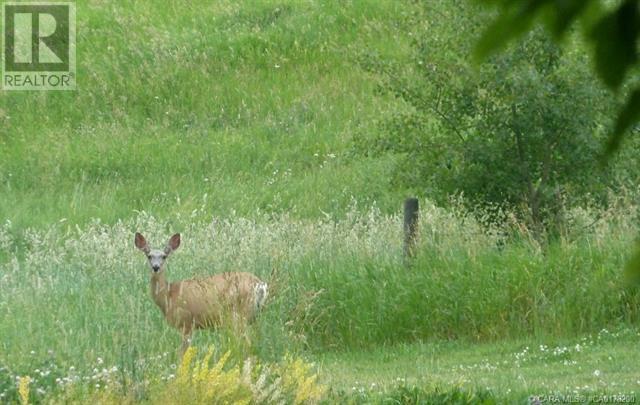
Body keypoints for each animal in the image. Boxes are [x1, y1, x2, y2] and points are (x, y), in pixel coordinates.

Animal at [133, 232, 268, 356]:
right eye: (149, 256)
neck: (169, 295)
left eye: (164, 256)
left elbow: (183, 353)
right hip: (253, 317)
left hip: (238, 315)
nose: (156, 267)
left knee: (247, 344)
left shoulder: (187, 321)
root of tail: (260, 285)